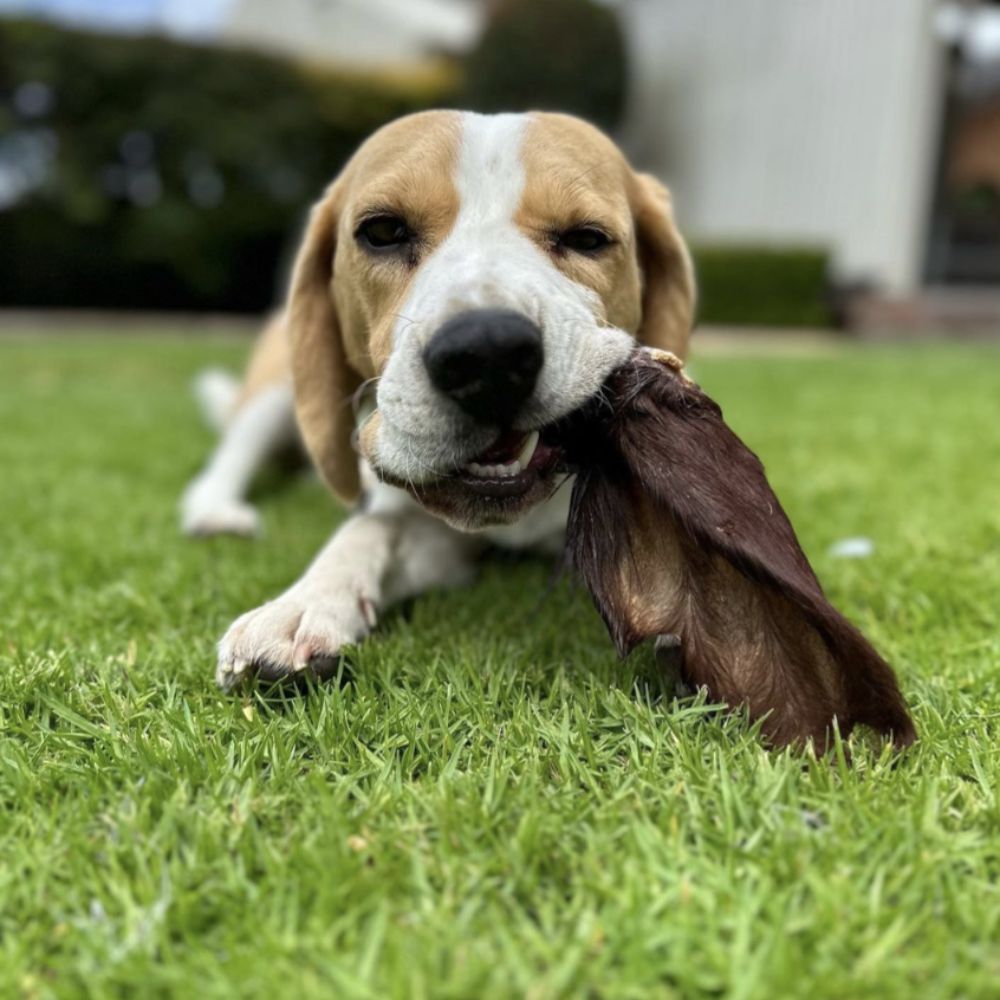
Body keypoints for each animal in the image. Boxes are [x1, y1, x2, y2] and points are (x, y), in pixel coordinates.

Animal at [180, 109, 692, 688]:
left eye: (587, 238)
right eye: (382, 232)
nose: (488, 353)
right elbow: (366, 530)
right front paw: (301, 605)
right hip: (277, 387)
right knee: (231, 458)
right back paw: (216, 511)